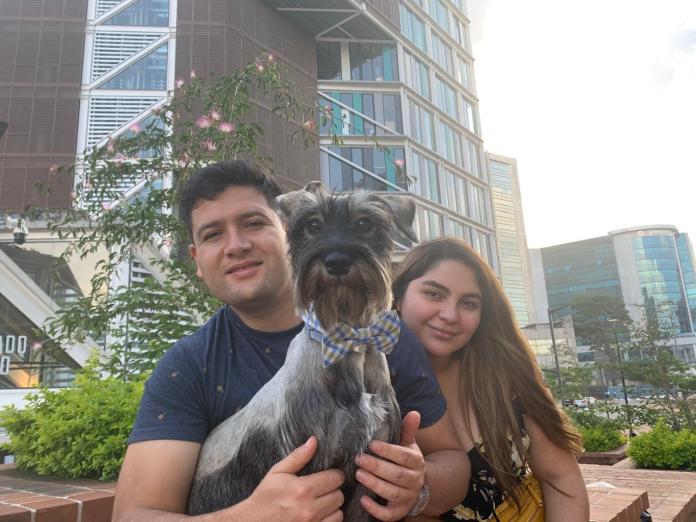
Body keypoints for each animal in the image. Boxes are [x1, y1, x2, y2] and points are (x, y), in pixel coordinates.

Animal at [185, 181, 416, 516]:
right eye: (313, 224)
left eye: (364, 223)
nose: (336, 261)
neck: (347, 341)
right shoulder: (314, 465)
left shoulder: (370, 466)